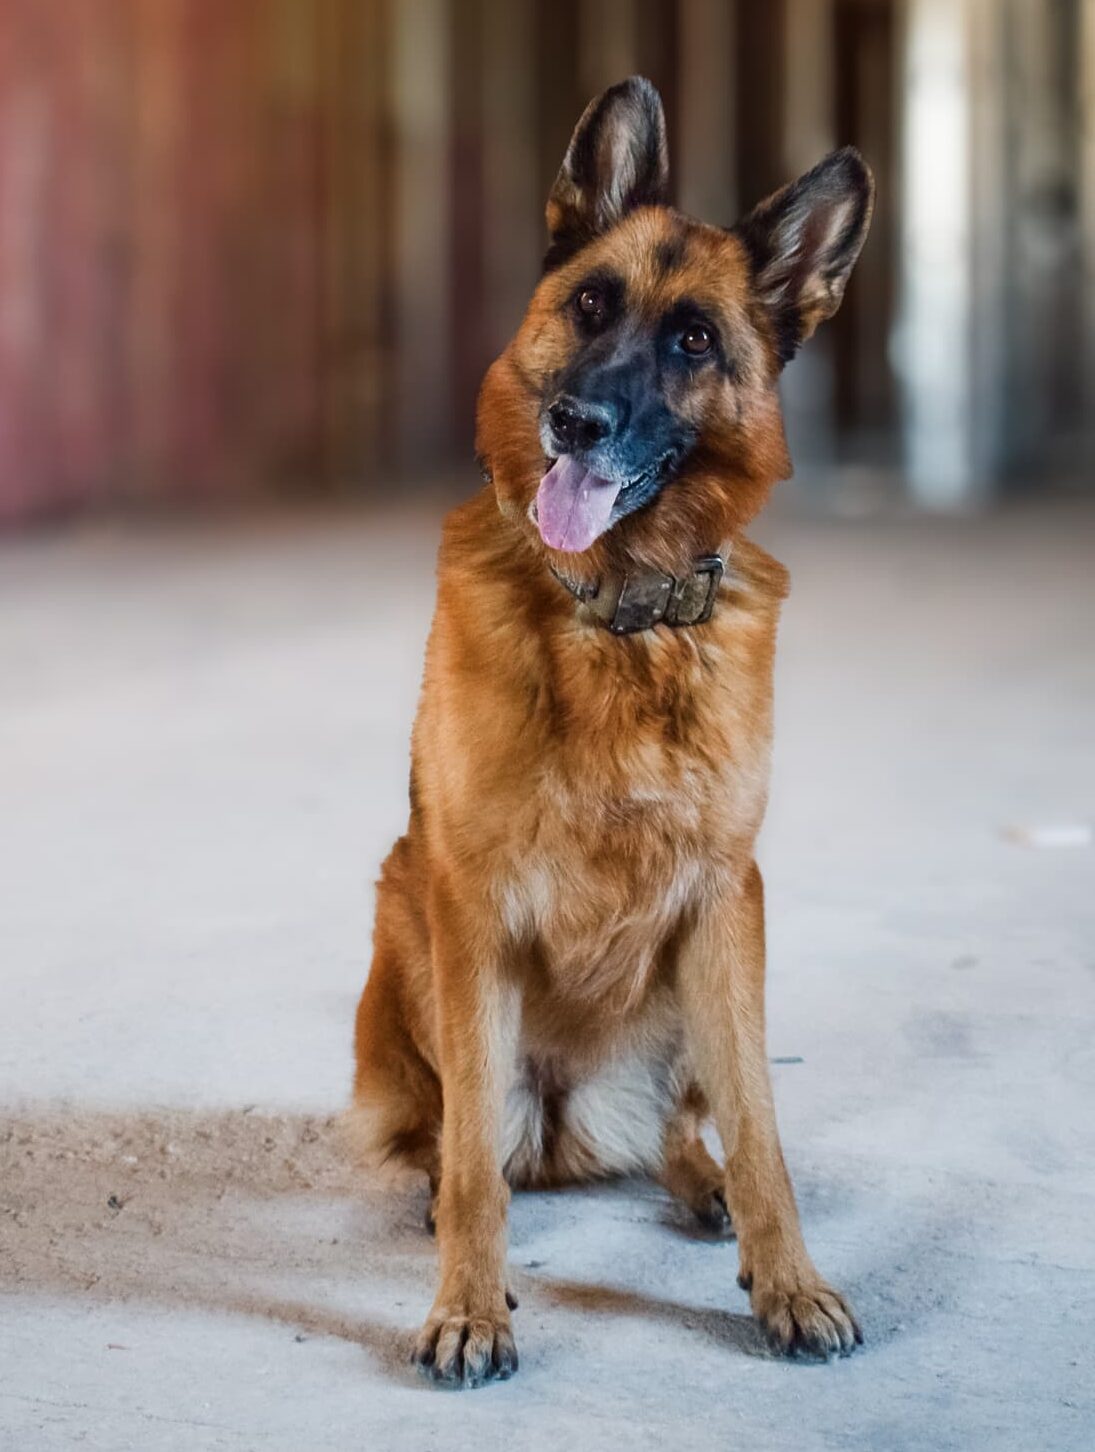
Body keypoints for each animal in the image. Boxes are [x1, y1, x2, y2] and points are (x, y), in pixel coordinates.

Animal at [354, 76, 877, 1382]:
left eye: (694, 341)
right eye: (590, 303)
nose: (574, 420)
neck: (623, 623)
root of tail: (570, 1127)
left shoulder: (727, 892)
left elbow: (761, 1131)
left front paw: (789, 1281)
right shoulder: (469, 895)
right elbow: (475, 1167)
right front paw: (468, 1306)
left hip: (707, 973)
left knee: (697, 1122)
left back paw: (702, 1187)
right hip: (403, 913)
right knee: (459, 1139)